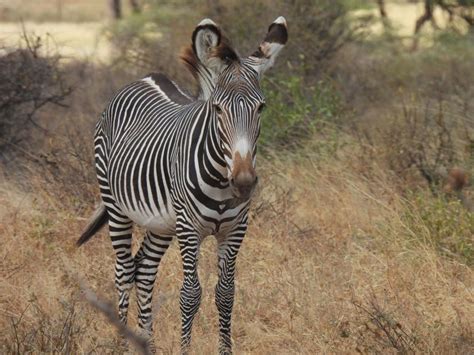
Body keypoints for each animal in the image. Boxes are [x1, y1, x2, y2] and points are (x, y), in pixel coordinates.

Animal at [77, 16, 288, 354]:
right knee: (123, 271)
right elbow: (190, 294)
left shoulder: (235, 230)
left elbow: (225, 293)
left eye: (261, 108)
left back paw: (146, 343)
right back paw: (122, 343)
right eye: (217, 108)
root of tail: (146, 77)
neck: (221, 181)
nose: (244, 181)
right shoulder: (189, 229)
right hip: (116, 206)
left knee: (144, 270)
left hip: (162, 224)